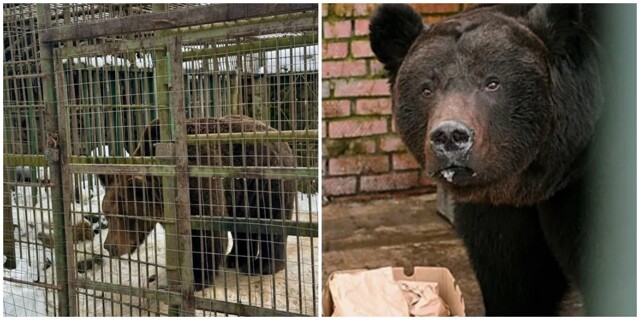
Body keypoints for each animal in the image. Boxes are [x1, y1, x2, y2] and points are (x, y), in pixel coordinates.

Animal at [98, 115, 298, 290]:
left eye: (123, 213)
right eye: (107, 214)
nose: (109, 246)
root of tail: (282, 139)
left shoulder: (198, 182)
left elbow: (206, 234)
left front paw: (197, 280)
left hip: (268, 179)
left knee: (272, 220)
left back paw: (262, 266)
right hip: (242, 192)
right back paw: (233, 259)